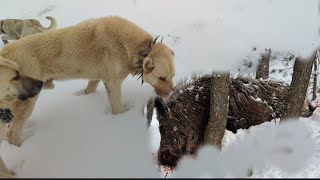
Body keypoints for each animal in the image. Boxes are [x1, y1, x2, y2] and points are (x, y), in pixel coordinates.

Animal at [0, 16, 175, 147]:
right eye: (161, 78)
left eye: (172, 76)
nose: (172, 94)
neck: (134, 48)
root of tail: (4, 52)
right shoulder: (113, 83)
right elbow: (118, 108)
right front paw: (120, 121)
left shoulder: (97, 77)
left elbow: (90, 88)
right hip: (25, 103)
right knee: (11, 132)